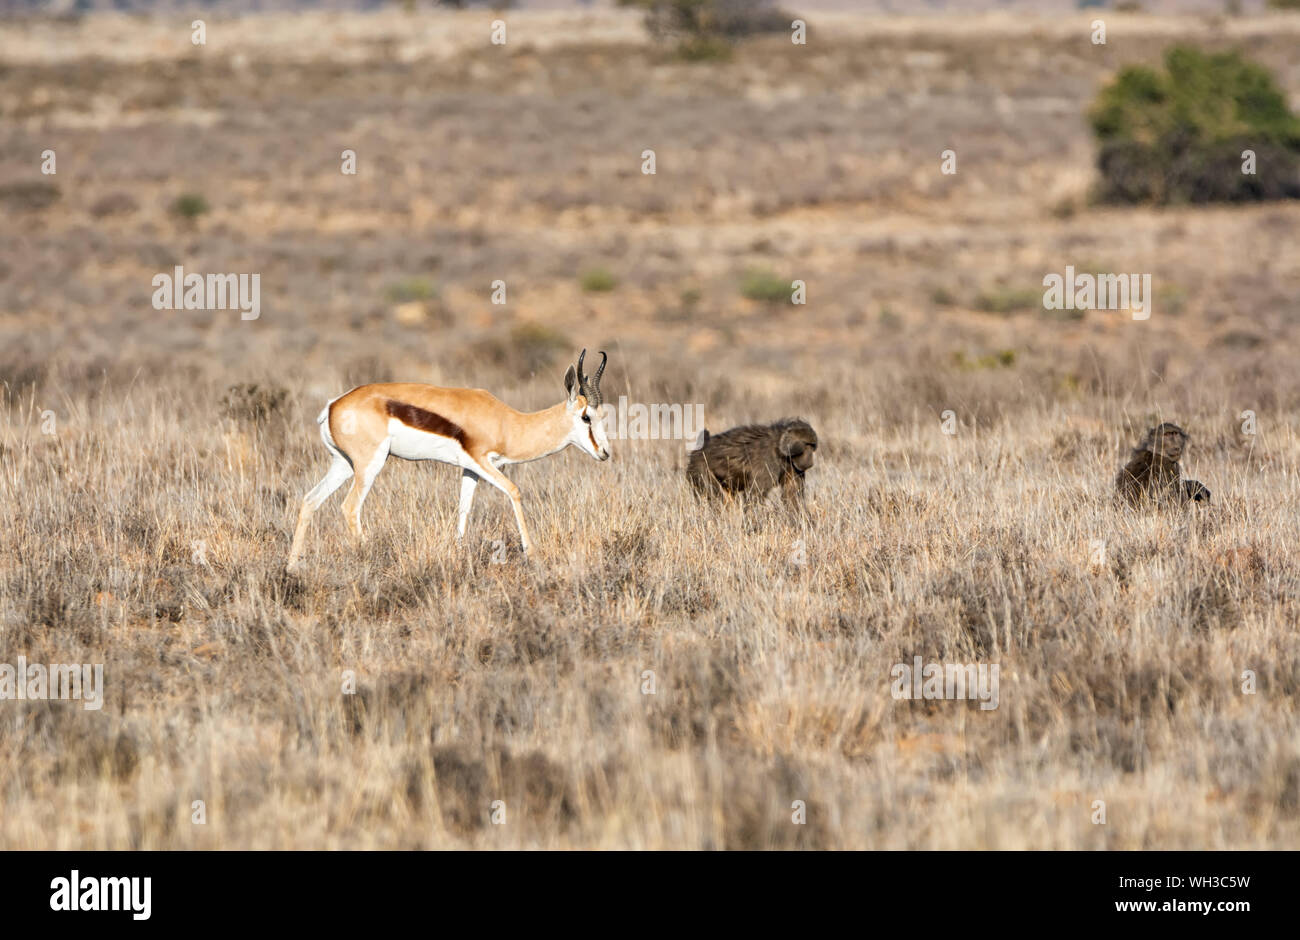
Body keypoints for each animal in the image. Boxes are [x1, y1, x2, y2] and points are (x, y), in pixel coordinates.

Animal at [287, 351, 611, 569]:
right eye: (586, 417)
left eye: (602, 415)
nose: (604, 453)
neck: (508, 423)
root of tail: (333, 405)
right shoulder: (483, 461)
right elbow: (515, 492)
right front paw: (532, 554)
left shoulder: (471, 469)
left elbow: (463, 509)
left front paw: (457, 553)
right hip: (370, 465)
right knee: (350, 507)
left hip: (342, 465)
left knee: (310, 501)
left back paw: (292, 566)